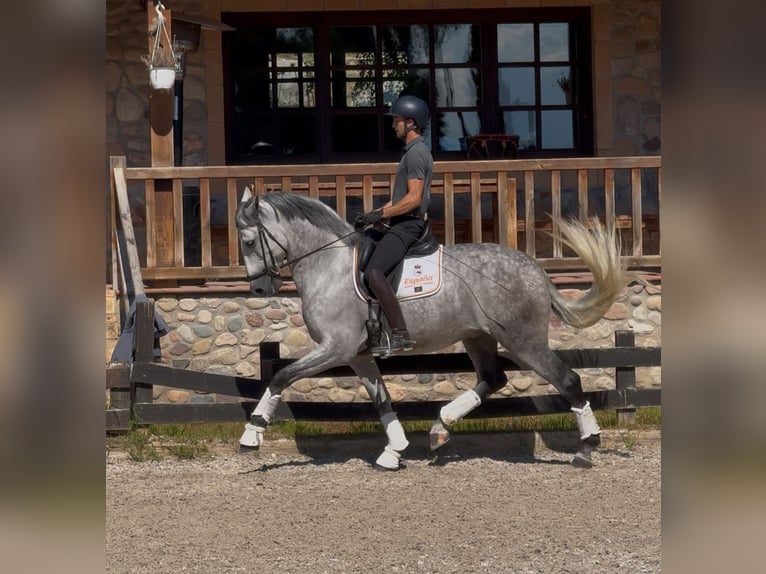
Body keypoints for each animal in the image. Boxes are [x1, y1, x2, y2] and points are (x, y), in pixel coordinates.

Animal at [236, 188, 635, 470]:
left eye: (250, 241)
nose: (260, 290)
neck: (328, 266)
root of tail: (535, 270)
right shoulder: (357, 355)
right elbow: (381, 399)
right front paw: (394, 451)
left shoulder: (335, 348)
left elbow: (281, 376)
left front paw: (252, 433)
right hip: (478, 337)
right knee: (492, 379)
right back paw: (440, 427)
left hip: (523, 341)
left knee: (567, 380)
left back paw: (586, 448)